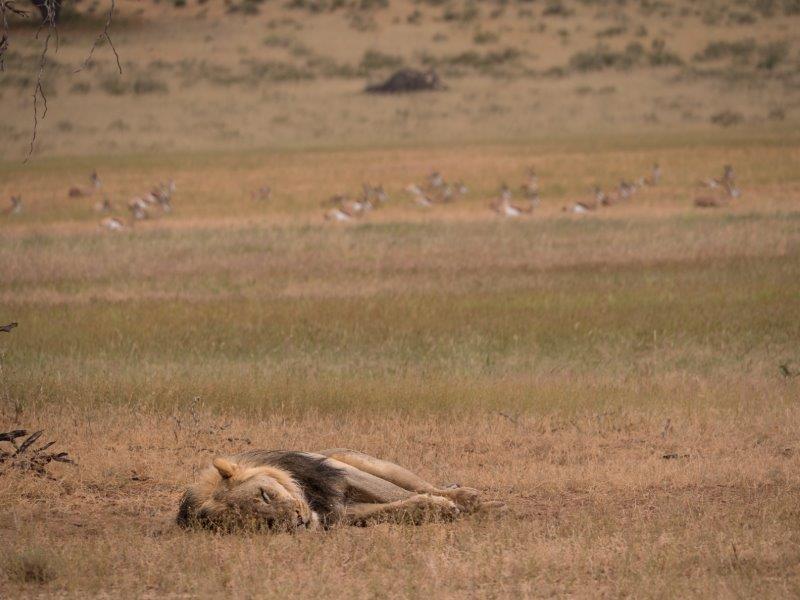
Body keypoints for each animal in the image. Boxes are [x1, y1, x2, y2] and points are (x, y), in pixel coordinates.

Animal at [177, 448, 500, 532]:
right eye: (264, 524)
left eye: (264, 495)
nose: (298, 519)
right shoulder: (340, 513)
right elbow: (394, 507)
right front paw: (431, 508)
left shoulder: (338, 475)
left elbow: (397, 495)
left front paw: (455, 505)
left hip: (364, 461)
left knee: (419, 484)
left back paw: (473, 498)